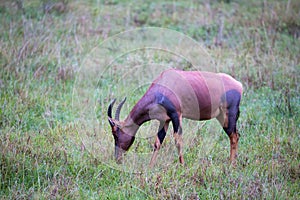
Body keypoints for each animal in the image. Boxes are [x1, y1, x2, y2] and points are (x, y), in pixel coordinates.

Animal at [106, 69, 243, 167]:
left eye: (115, 134)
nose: (117, 159)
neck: (164, 84)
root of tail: (239, 85)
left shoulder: (176, 115)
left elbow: (178, 140)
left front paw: (182, 166)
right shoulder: (164, 120)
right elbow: (158, 142)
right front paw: (150, 167)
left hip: (228, 115)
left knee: (234, 136)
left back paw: (231, 165)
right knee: (236, 134)